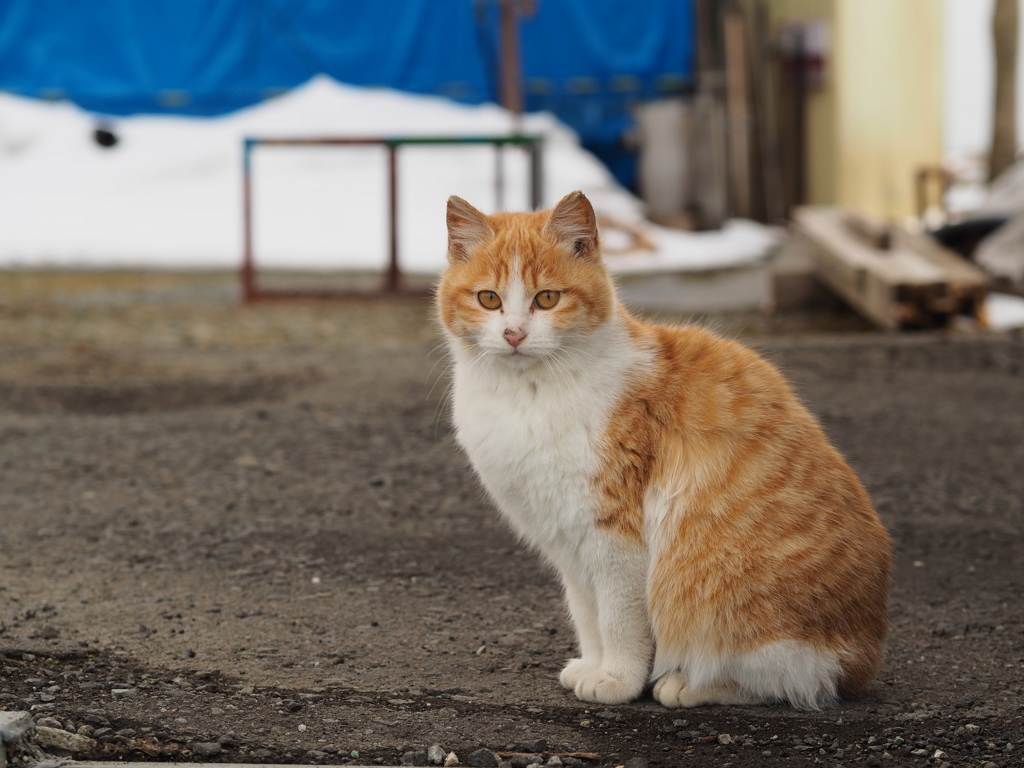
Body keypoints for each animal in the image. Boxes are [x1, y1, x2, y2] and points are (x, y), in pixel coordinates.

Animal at [436, 191, 892, 708]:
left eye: (546, 299)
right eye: (488, 299)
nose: (513, 334)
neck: (527, 394)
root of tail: (863, 654)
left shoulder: (615, 536)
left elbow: (619, 619)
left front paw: (618, 680)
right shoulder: (567, 542)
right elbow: (588, 616)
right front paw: (594, 666)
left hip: (712, 586)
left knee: (784, 676)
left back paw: (688, 684)